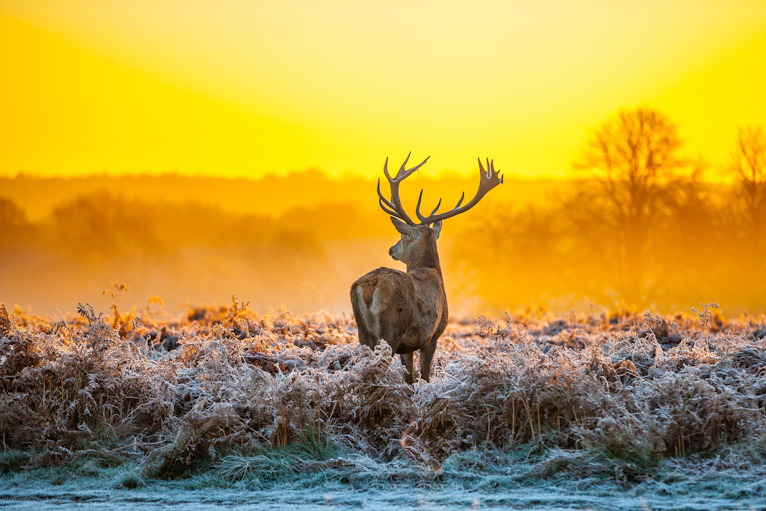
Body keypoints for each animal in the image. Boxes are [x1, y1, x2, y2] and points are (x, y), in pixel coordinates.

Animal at [350, 155, 504, 384]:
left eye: (402, 236)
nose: (391, 249)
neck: (432, 272)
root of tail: (370, 285)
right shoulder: (432, 336)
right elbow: (425, 376)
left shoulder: (407, 347)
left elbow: (410, 379)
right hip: (391, 328)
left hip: (363, 331)